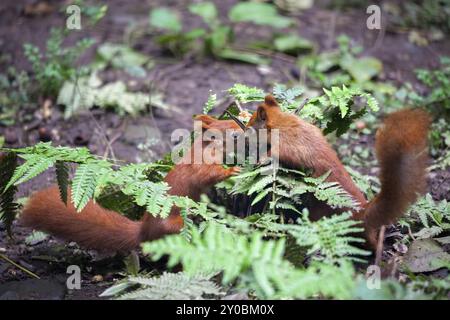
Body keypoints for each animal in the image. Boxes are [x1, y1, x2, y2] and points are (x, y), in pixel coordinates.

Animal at [20, 116, 243, 251]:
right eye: (232, 132)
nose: (244, 125)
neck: (204, 148)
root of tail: (143, 231)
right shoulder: (199, 166)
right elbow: (209, 175)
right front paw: (232, 171)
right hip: (172, 225)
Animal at [248, 94, 430, 249]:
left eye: (251, 126)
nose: (244, 134)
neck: (282, 122)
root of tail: (362, 214)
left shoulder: (289, 145)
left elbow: (278, 154)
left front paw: (261, 159)